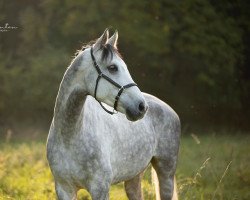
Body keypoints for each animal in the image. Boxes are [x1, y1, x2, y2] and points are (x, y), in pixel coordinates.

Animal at [46, 28, 180, 200]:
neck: (70, 135)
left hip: (166, 173)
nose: (142, 107)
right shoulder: (64, 189)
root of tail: (169, 109)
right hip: (134, 176)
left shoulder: (100, 189)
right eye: (112, 67)